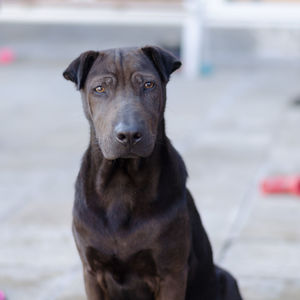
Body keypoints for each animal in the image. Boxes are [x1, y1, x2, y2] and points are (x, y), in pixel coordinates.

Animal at [62, 45, 241, 298]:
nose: (128, 134)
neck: (121, 183)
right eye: (100, 89)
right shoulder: (92, 272)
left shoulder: (171, 273)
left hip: (225, 277)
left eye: (148, 85)